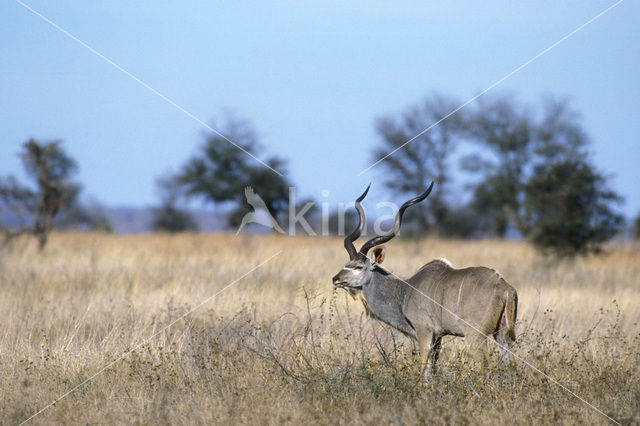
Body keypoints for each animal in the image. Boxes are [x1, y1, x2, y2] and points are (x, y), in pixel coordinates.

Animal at [332, 181, 516, 374]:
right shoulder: (438, 337)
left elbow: (424, 369)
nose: (335, 279)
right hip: (501, 335)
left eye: (358, 267)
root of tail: (506, 289)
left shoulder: (424, 332)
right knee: (511, 364)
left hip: (476, 336)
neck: (404, 291)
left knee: (485, 365)